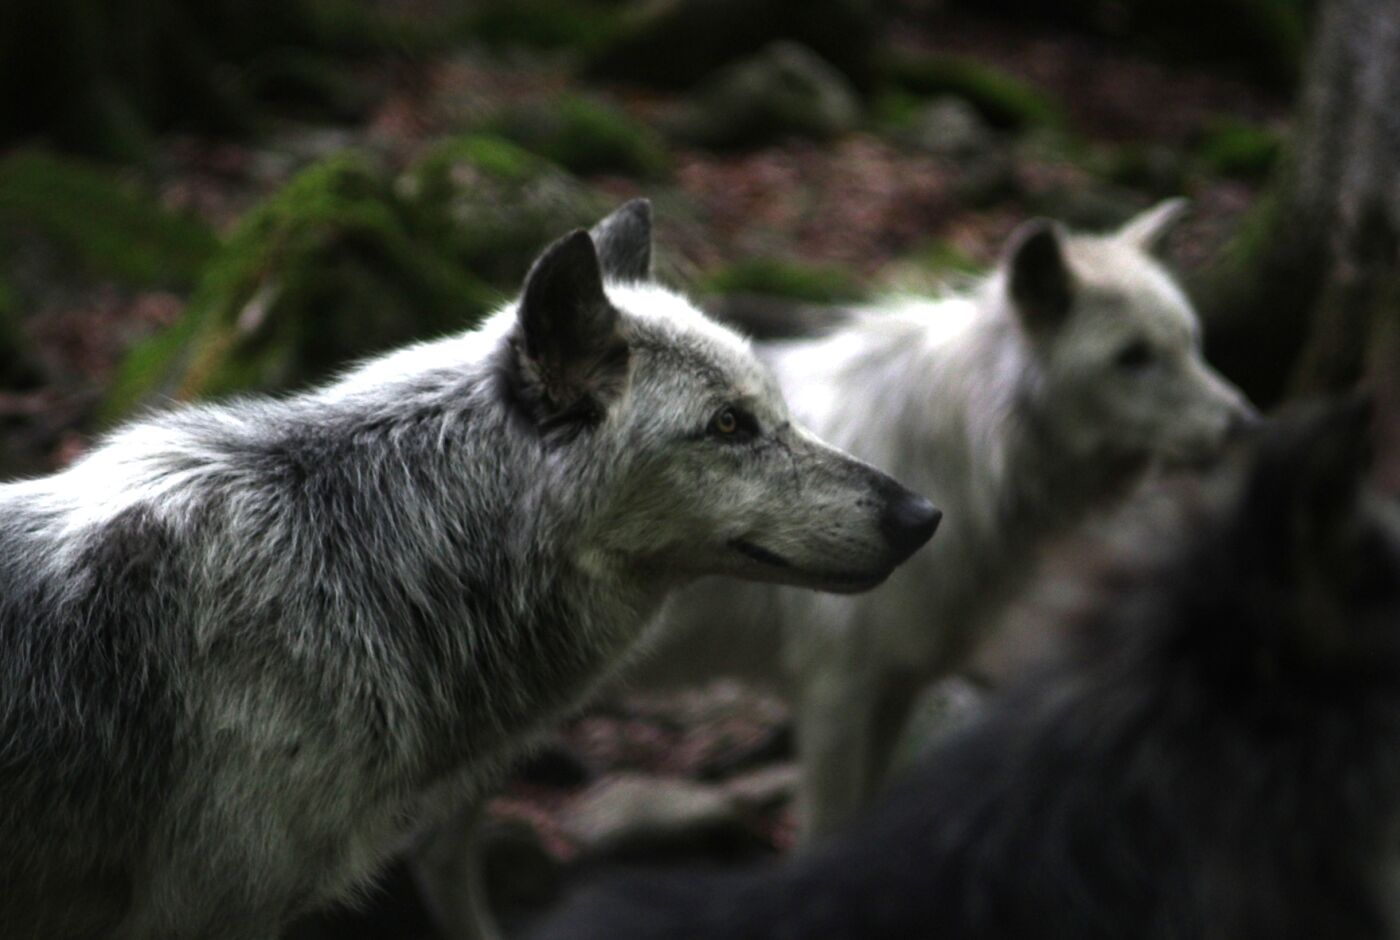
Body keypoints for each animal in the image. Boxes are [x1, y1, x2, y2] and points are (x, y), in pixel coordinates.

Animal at [644, 200, 1260, 840]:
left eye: (1191, 343)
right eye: (1133, 357)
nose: (1247, 424)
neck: (963, 454)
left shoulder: (897, 689)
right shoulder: (835, 695)